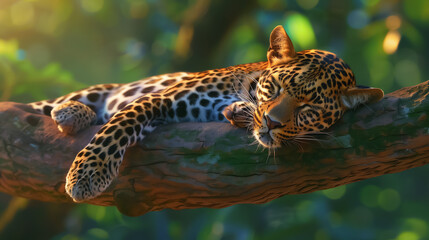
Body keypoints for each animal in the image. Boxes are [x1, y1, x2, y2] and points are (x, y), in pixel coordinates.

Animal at [27, 25, 382, 202]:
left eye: (309, 109)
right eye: (277, 87)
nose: (272, 123)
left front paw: (240, 112)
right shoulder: (164, 97)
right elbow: (119, 125)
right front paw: (87, 174)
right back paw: (70, 111)